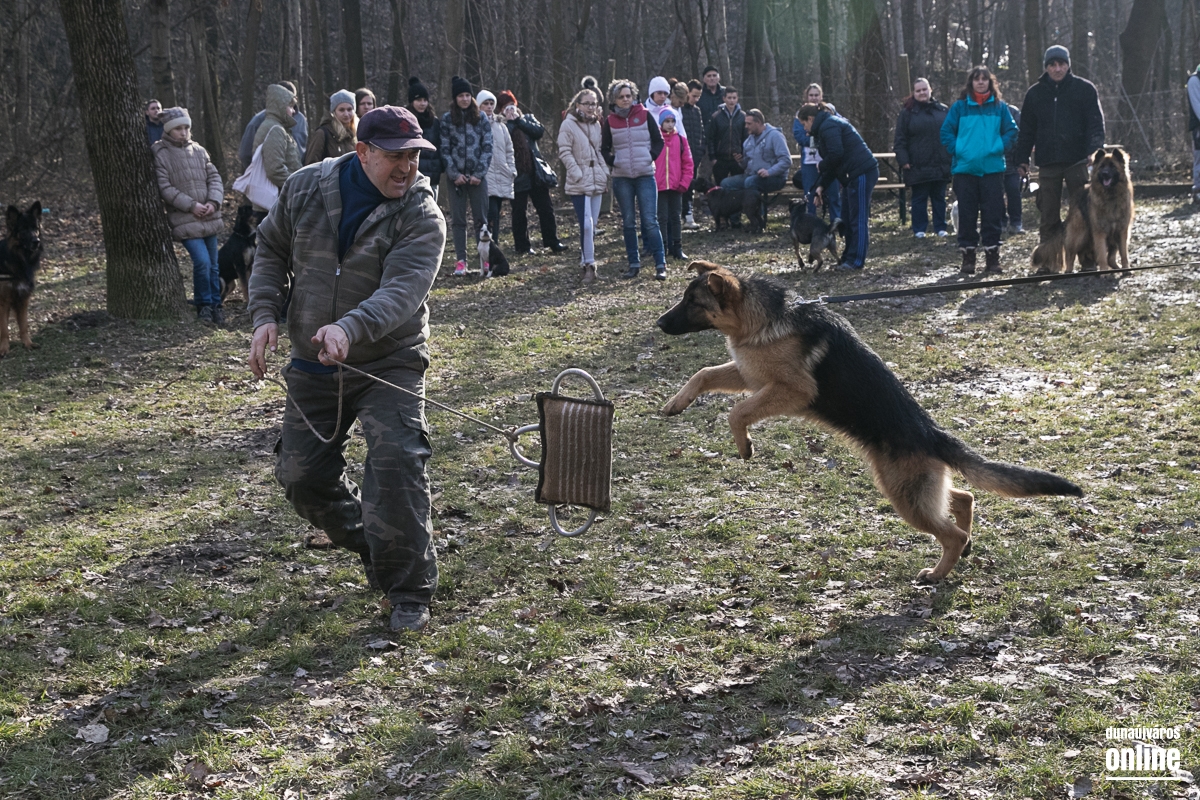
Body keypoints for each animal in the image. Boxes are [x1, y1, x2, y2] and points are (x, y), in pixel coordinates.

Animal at [0, 202, 44, 357]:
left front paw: (28, 343)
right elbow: (4, 328)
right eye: (23, 230)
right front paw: (4, 348)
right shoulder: (4, 302)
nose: (36, 241)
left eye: (35, 228)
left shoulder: (23, 299)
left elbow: (24, 325)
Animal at [657, 261, 1083, 583]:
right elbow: (703, 374)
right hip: (918, 488)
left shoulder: (790, 390)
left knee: (953, 534)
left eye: (693, 301)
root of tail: (934, 435)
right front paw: (675, 403)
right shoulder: (751, 376)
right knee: (964, 497)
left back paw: (937, 574)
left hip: (904, 496)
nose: (660, 324)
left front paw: (744, 444)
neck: (763, 316)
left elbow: (736, 411)